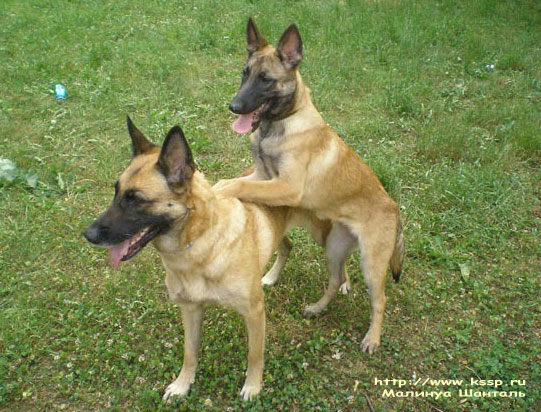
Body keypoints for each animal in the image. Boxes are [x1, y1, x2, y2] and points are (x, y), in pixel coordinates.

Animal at [83, 117, 336, 400]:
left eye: (136, 199)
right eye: (116, 192)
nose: (88, 234)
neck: (200, 245)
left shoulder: (254, 313)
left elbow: (255, 355)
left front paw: (253, 387)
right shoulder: (191, 310)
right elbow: (189, 353)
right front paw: (183, 384)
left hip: (324, 235)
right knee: (287, 246)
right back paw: (271, 276)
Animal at [214, 18, 405, 354]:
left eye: (266, 79)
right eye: (244, 73)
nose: (234, 106)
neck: (278, 125)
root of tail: (394, 208)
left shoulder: (284, 186)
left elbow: (236, 187)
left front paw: (216, 193)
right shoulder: (262, 176)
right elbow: (232, 181)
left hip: (372, 263)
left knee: (379, 300)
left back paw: (372, 338)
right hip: (333, 247)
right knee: (336, 278)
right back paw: (317, 307)